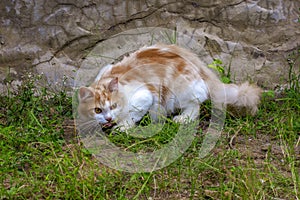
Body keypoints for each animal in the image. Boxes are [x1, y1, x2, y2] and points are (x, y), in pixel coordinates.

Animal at [77, 43, 260, 131]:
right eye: (98, 110)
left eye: (113, 106)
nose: (108, 118)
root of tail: (197, 63)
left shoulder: (144, 96)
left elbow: (131, 116)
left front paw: (122, 127)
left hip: (181, 90)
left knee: (195, 106)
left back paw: (182, 119)